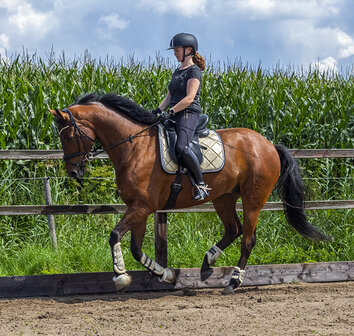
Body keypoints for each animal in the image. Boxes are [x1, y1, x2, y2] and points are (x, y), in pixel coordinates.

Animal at [48, 92, 330, 294]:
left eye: (69, 136)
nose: (73, 172)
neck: (134, 146)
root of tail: (268, 144)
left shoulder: (142, 206)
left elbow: (115, 234)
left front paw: (120, 276)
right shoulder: (139, 207)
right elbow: (136, 249)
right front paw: (166, 274)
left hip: (253, 200)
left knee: (248, 239)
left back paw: (233, 282)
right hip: (224, 198)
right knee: (233, 229)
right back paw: (207, 263)